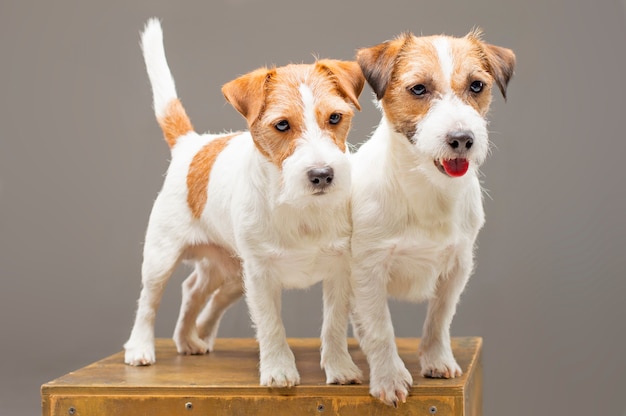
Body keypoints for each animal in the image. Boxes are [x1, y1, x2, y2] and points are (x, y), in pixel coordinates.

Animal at [123, 18, 364, 390]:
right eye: (282, 124)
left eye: (335, 118)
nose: (323, 175)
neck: (298, 207)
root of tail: (191, 144)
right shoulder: (261, 277)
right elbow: (270, 325)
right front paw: (279, 370)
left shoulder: (340, 271)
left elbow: (334, 325)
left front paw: (340, 368)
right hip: (161, 257)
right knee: (150, 299)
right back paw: (140, 348)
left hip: (232, 273)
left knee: (194, 290)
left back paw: (191, 339)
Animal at [348, 30, 516, 406]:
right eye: (419, 89)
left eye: (476, 85)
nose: (462, 139)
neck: (427, 188)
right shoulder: (367, 270)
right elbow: (381, 328)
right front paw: (389, 377)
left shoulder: (457, 266)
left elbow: (439, 318)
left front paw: (437, 359)